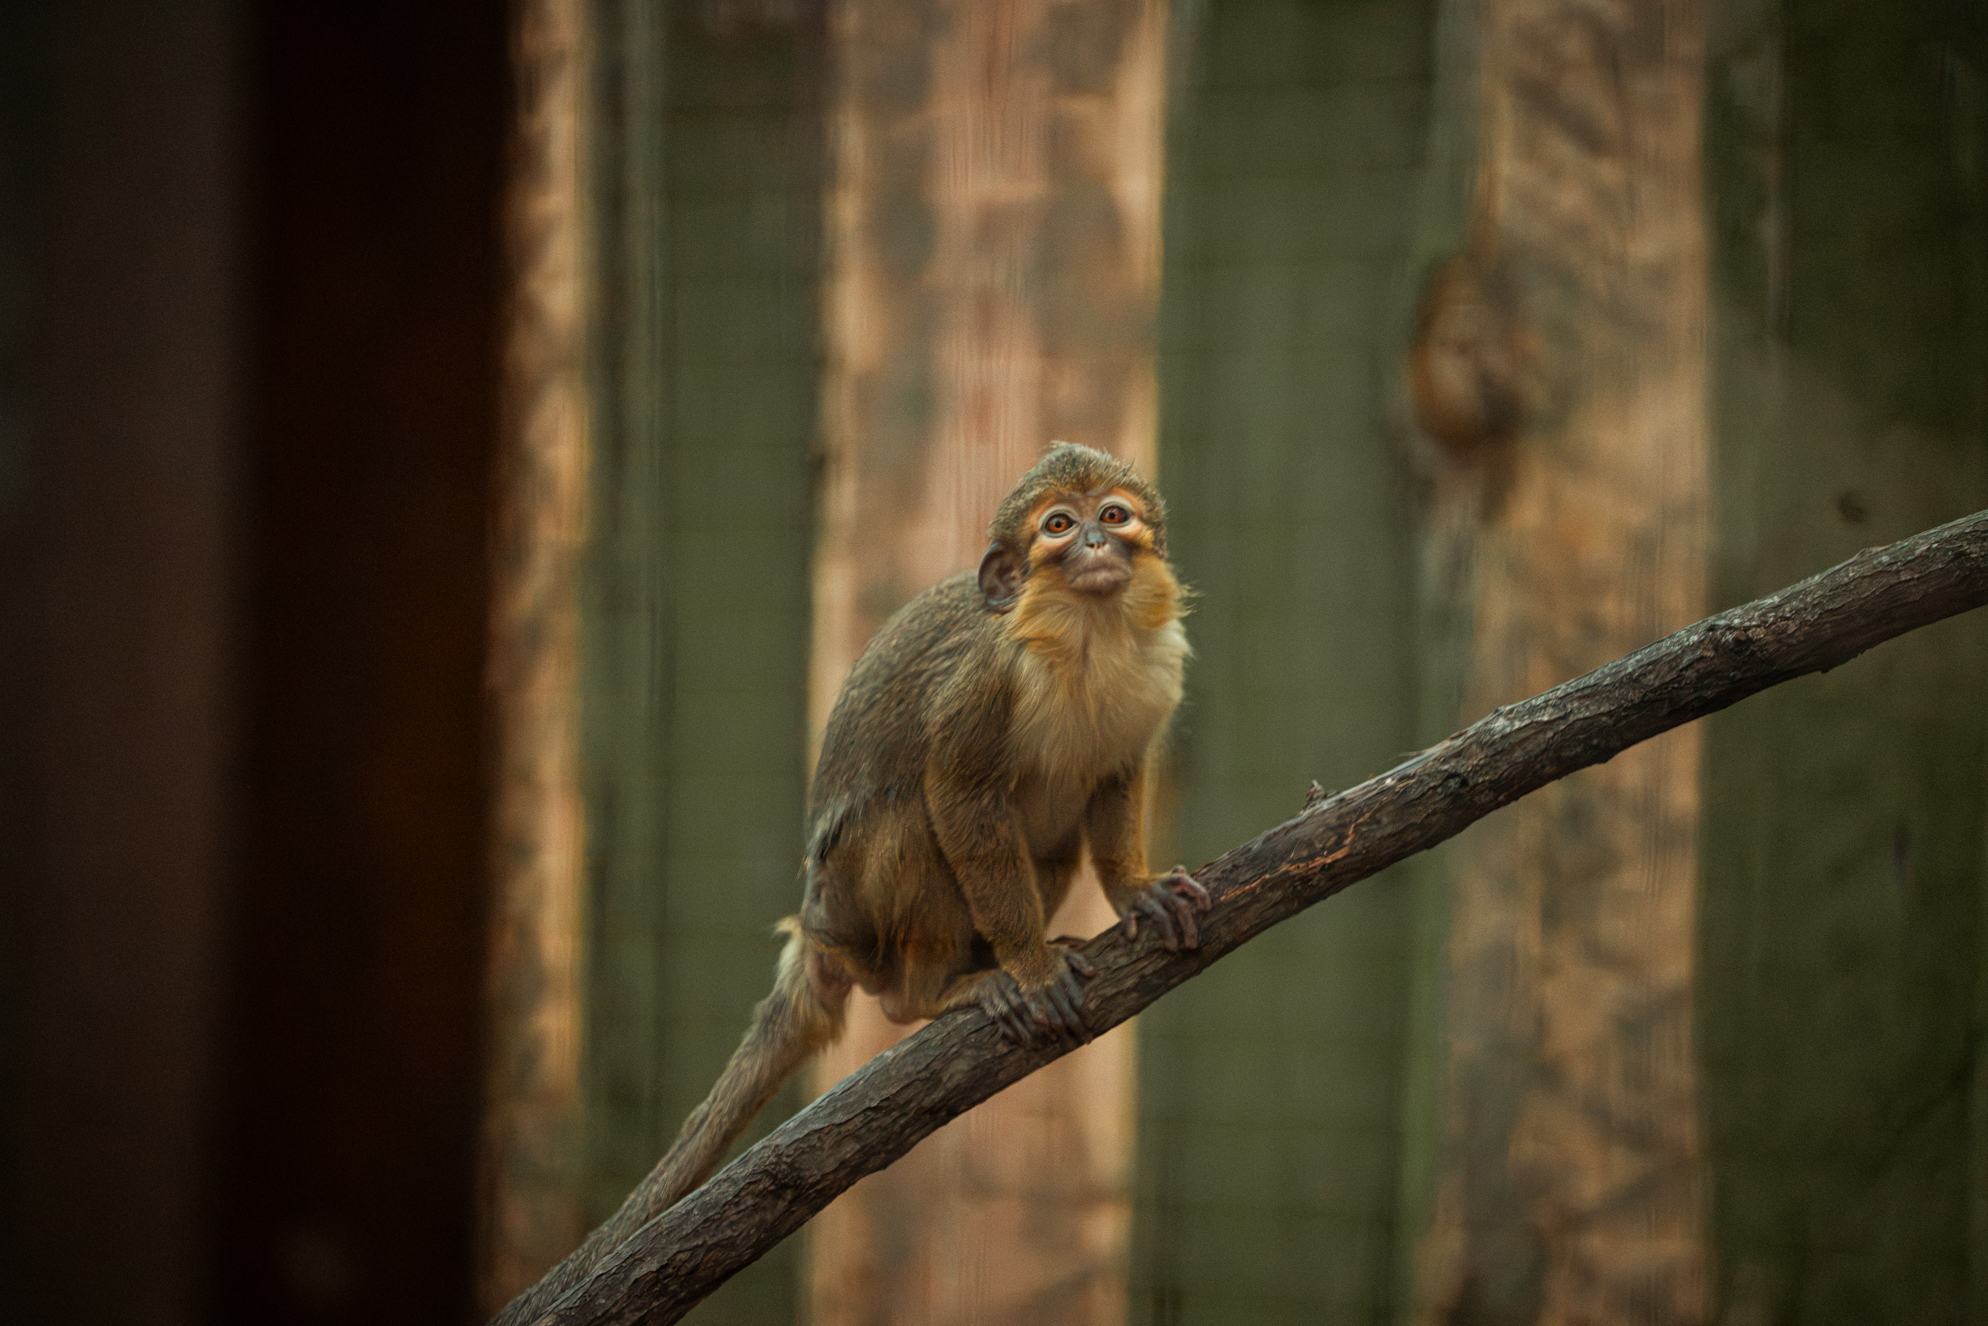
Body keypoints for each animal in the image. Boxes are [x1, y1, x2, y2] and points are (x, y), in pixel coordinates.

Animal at [494, 442, 1208, 1324]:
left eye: (1114, 515)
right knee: (909, 819)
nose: (1097, 548)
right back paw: (936, 992)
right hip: (859, 912)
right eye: (1058, 527)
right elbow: (956, 795)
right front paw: (1032, 967)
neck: (1090, 635)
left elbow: (1112, 777)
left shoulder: (1153, 673)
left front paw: (1134, 892)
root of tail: (818, 934)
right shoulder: (983, 683)